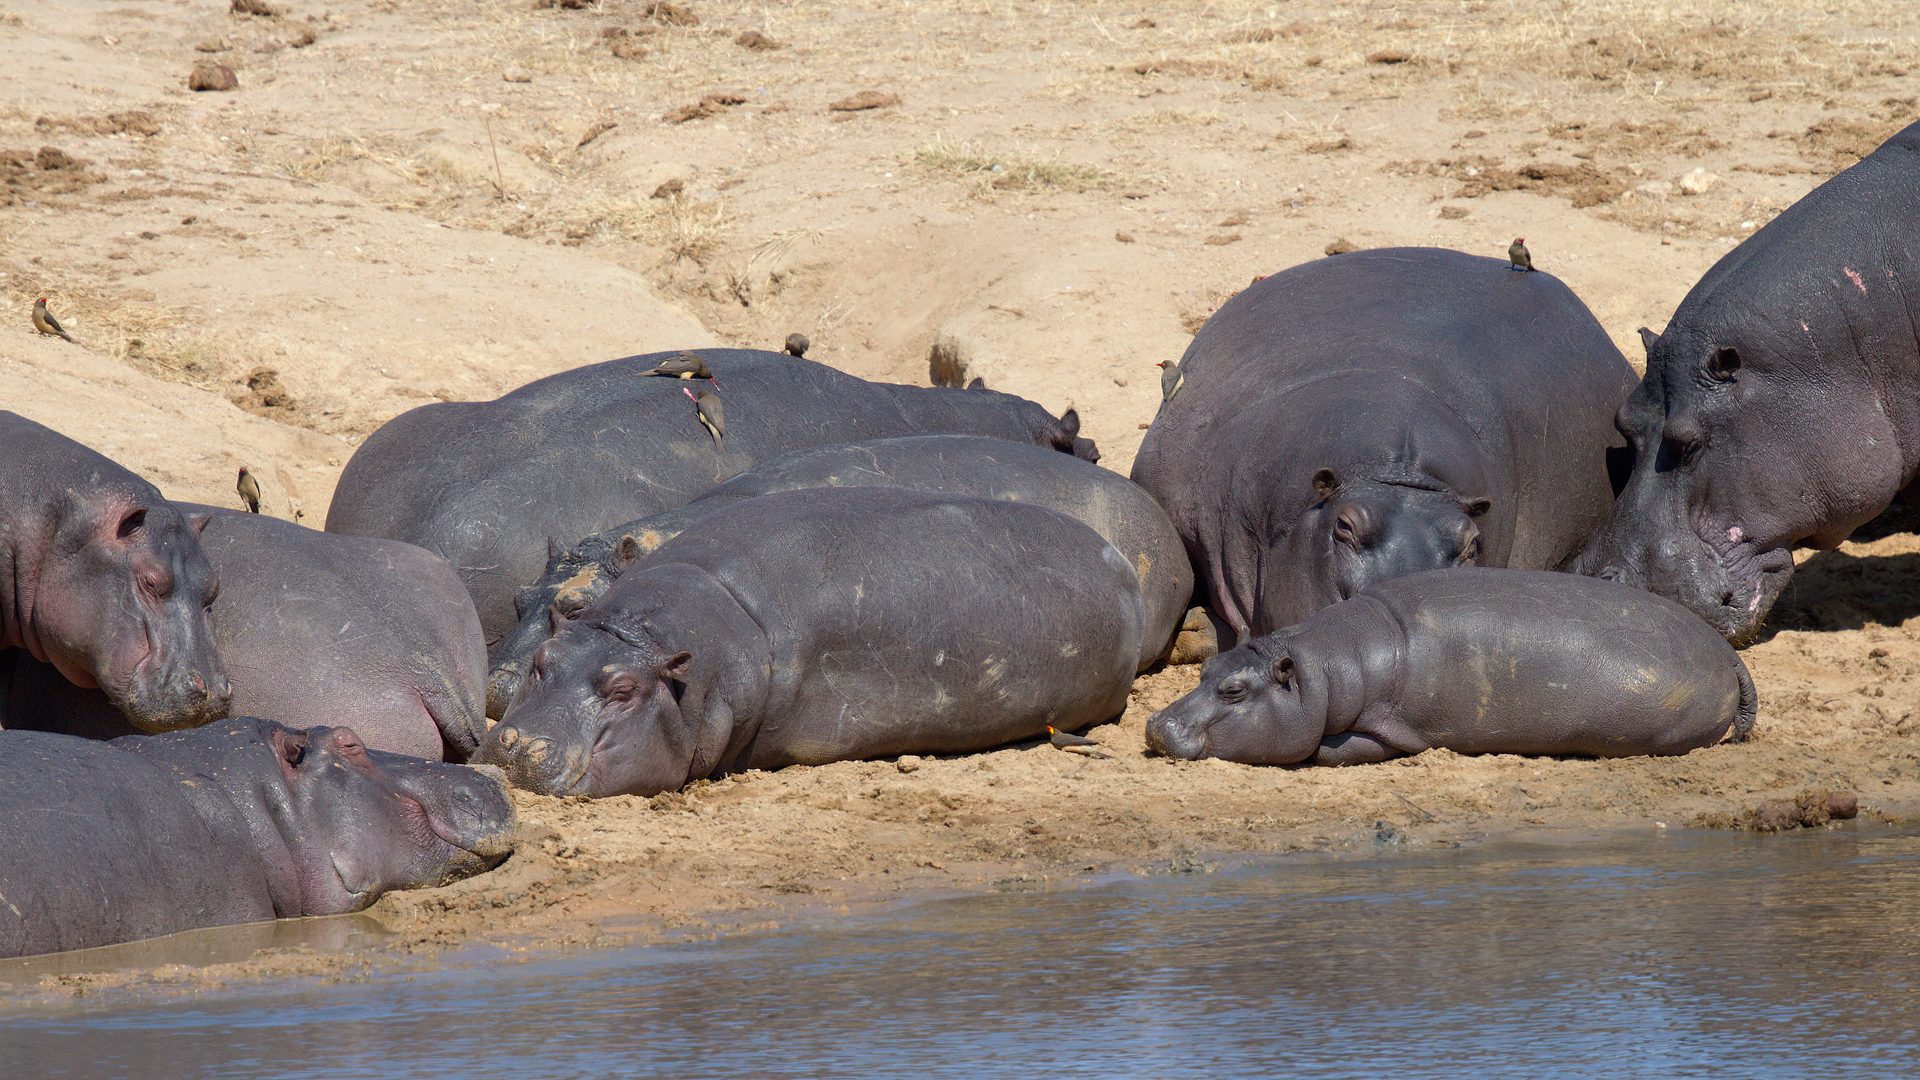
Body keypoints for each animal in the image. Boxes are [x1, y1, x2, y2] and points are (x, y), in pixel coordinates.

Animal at [1146, 567, 1756, 766]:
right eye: (1205, 670)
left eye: (1233, 690)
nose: (1156, 724)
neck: (1327, 669)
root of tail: (1730, 653)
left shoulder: (1388, 730)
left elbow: (1331, 749)